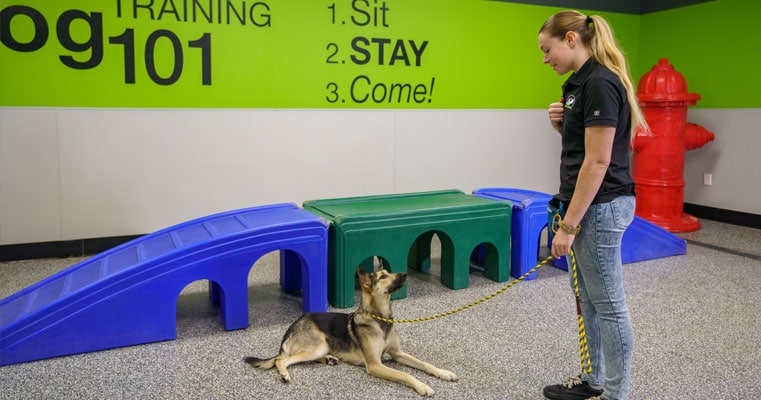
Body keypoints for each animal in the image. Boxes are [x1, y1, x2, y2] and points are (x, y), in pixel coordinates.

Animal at [243, 268, 458, 396]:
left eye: (388, 272)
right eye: (383, 277)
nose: (405, 274)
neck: (380, 319)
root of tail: (295, 323)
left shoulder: (397, 354)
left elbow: (425, 364)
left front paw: (444, 373)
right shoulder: (375, 365)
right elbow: (405, 375)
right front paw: (423, 386)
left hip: (320, 347)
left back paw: (330, 359)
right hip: (317, 345)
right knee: (281, 360)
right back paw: (285, 374)